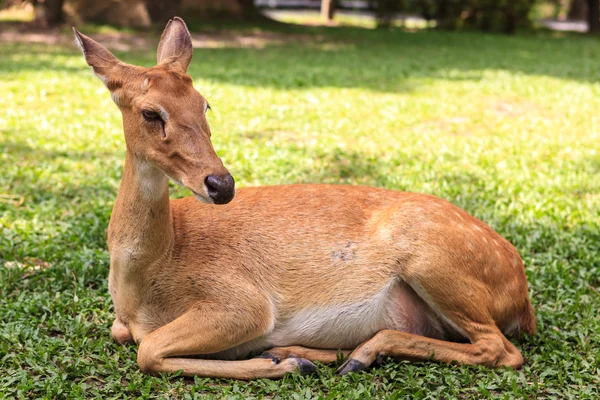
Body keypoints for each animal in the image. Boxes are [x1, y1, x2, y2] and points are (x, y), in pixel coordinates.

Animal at [72, 18, 536, 382]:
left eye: (205, 103)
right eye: (151, 113)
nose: (222, 184)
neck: (144, 284)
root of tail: (522, 296)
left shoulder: (242, 301)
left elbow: (147, 350)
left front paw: (282, 365)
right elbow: (129, 338)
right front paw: (286, 360)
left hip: (433, 259)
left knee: (501, 349)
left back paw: (339, 357)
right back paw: (309, 353)